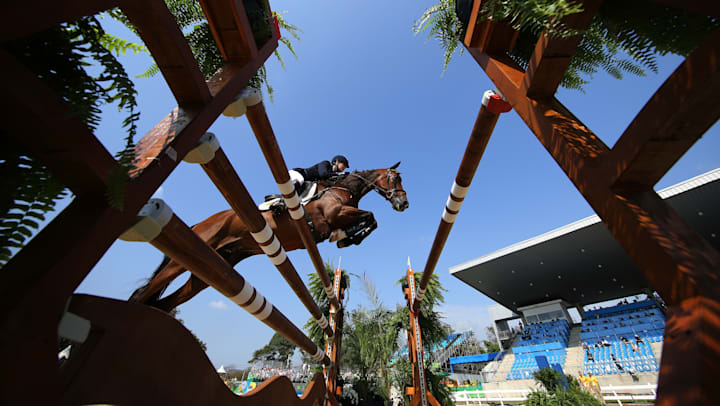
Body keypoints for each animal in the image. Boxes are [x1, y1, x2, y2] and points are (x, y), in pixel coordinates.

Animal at [129, 162, 409, 311]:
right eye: (395, 178)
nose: (403, 204)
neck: (341, 187)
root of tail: (200, 223)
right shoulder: (335, 213)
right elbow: (371, 216)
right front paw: (349, 237)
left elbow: (371, 219)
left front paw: (348, 237)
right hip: (183, 258)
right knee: (148, 290)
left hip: (209, 271)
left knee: (166, 302)